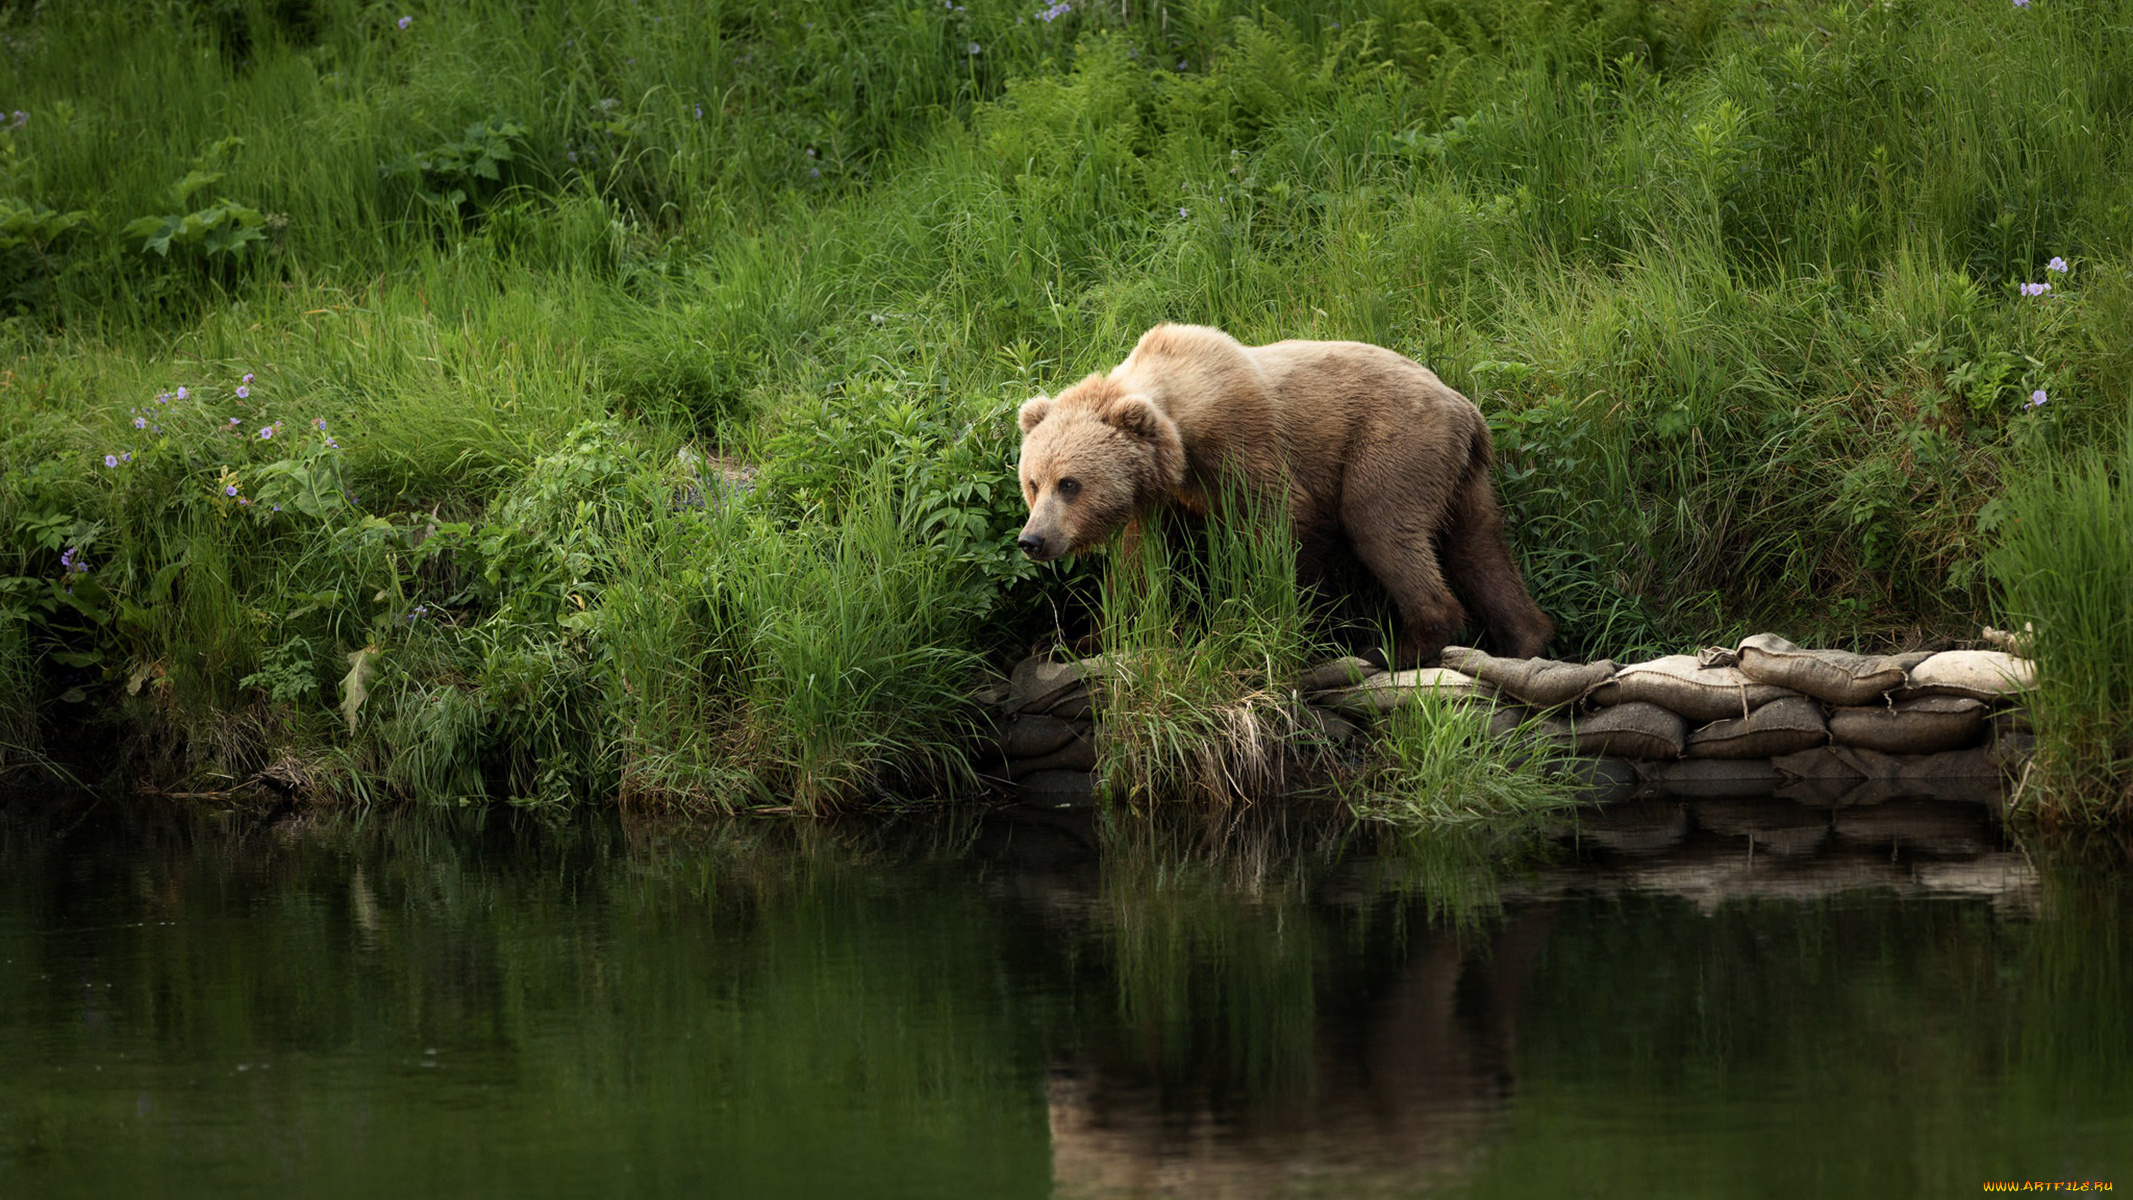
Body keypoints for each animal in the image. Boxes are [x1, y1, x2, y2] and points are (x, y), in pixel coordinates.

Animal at [1015, 323, 1552, 673]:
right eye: (1034, 482)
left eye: (1070, 483)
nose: (1032, 540)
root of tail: (1466, 408)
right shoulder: (1155, 496)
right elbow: (1138, 567)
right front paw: (1075, 641)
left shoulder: (1243, 443)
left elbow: (1283, 527)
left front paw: (1265, 623)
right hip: (1461, 477)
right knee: (1479, 547)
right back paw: (1527, 639)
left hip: (1393, 443)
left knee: (1382, 527)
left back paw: (1391, 649)